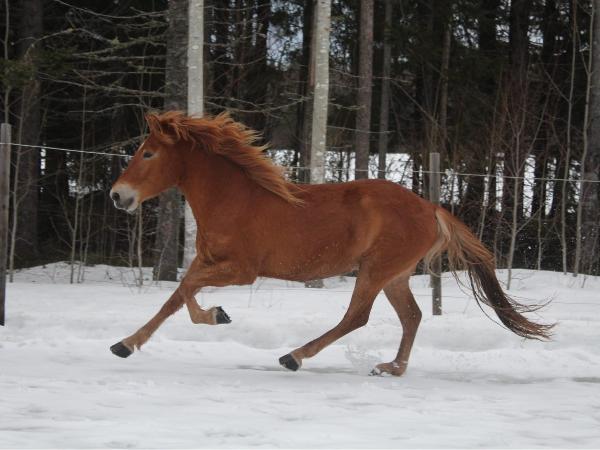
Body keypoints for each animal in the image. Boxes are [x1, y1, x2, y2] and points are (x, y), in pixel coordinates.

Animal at [109, 111, 553, 376]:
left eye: (148, 153)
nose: (117, 196)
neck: (233, 199)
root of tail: (431, 208)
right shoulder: (207, 261)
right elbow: (176, 297)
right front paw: (126, 344)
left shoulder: (242, 270)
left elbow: (186, 290)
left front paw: (217, 315)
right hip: (395, 275)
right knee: (411, 317)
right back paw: (391, 368)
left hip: (375, 270)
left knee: (357, 317)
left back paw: (294, 356)